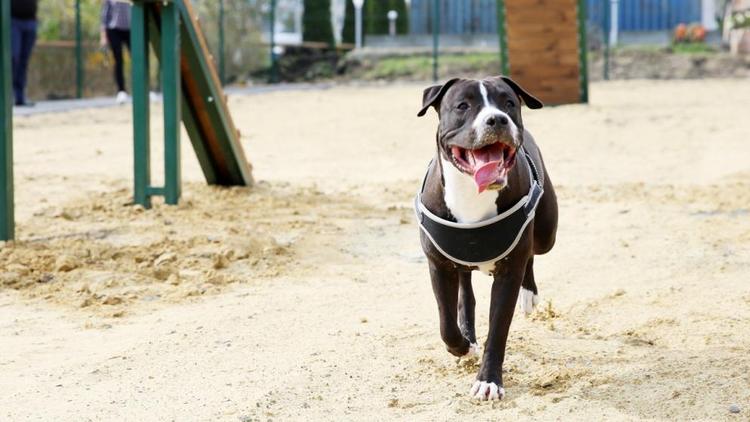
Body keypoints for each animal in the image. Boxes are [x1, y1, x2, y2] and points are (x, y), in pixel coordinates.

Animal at [418, 76, 560, 402]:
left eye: (508, 102)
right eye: (462, 105)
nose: (497, 119)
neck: (473, 191)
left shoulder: (509, 271)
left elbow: (497, 331)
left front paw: (489, 381)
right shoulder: (438, 265)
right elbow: (446, 323)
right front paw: (463, 346)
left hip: (546, 234)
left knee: (532, 252)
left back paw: (529, 295)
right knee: (465, 290)